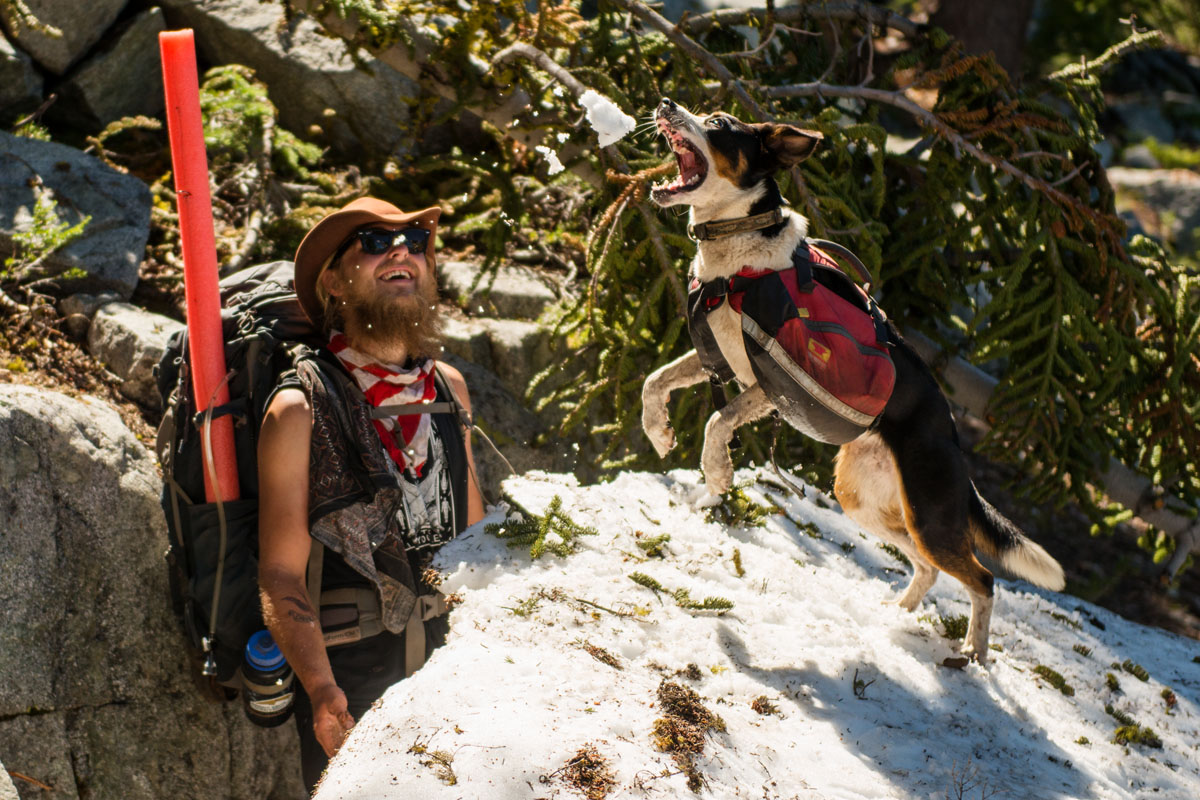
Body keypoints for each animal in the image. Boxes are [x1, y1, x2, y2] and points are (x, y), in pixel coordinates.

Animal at [643, 98, 1065, 662]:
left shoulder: (772, 382)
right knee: (928, 566)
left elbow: (718, 420)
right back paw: (897, 618)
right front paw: (660, 433)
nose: (666, 103)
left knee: (982, 579)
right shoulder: (721, 359)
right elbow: (655, 381)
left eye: (718, 124)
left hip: (930, 514)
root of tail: (954, 442)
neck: (738, 251)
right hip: (864, 500)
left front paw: (717, 475)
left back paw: (973, 654)